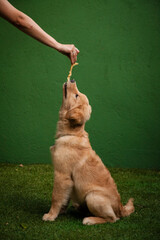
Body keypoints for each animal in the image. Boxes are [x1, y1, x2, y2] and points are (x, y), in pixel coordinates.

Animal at [42, 80, 134, 225]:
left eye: (76, 95)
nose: (72, 80)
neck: (72, 133)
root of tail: (121, 208)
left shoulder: (62, 175)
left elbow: (56, 197)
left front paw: (51, 215)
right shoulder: (68, 182)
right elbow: (64, 198)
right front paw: (61, 211)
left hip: (92, 196)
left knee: (112, 218)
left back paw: (90, 219)